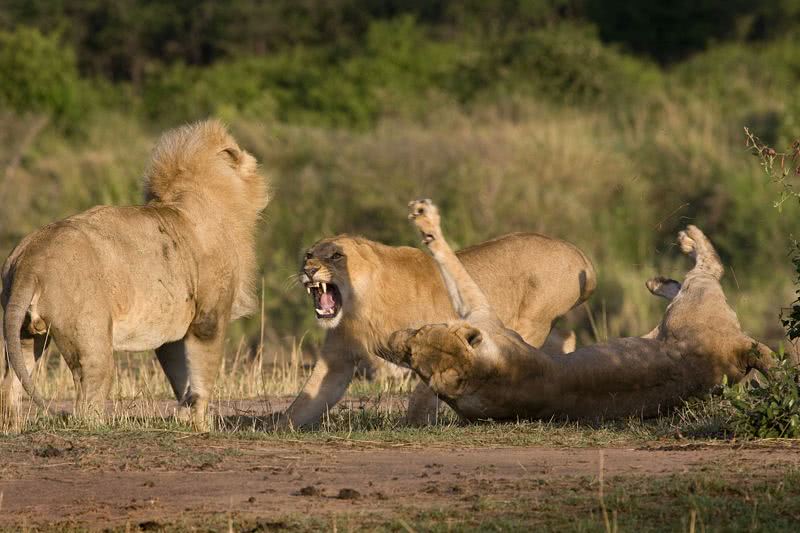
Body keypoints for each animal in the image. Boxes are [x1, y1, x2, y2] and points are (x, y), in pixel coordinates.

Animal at [0, 119, 270, 428]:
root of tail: (30, 261)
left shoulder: (172, 331)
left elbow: (182, 377)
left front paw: (184, 418)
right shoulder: (208, 318)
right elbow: (203, 377)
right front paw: (201, 425)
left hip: (24, 332)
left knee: (10, 382)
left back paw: (12, 427)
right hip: (91, 338)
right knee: (87, 392)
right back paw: (98, 426)